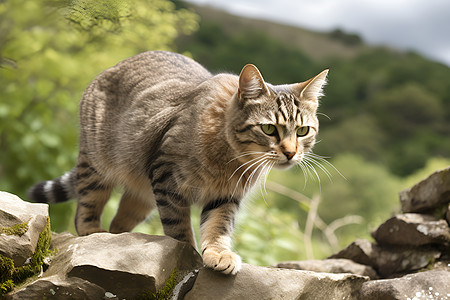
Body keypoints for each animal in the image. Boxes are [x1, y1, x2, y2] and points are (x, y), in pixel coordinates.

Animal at [29, 50, 328, 276]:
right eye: (269, 129)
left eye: (303, 131)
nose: (290, 153)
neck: (230, 159)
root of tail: (114, 66)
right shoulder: (168, 181)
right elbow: (179, 229)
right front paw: (189, 255)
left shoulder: (225, 196)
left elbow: (217, 227)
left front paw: (218, 254)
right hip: (97, 166)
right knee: (86, 207)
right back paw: (93, 231)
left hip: (141, 197)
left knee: (119, 222)